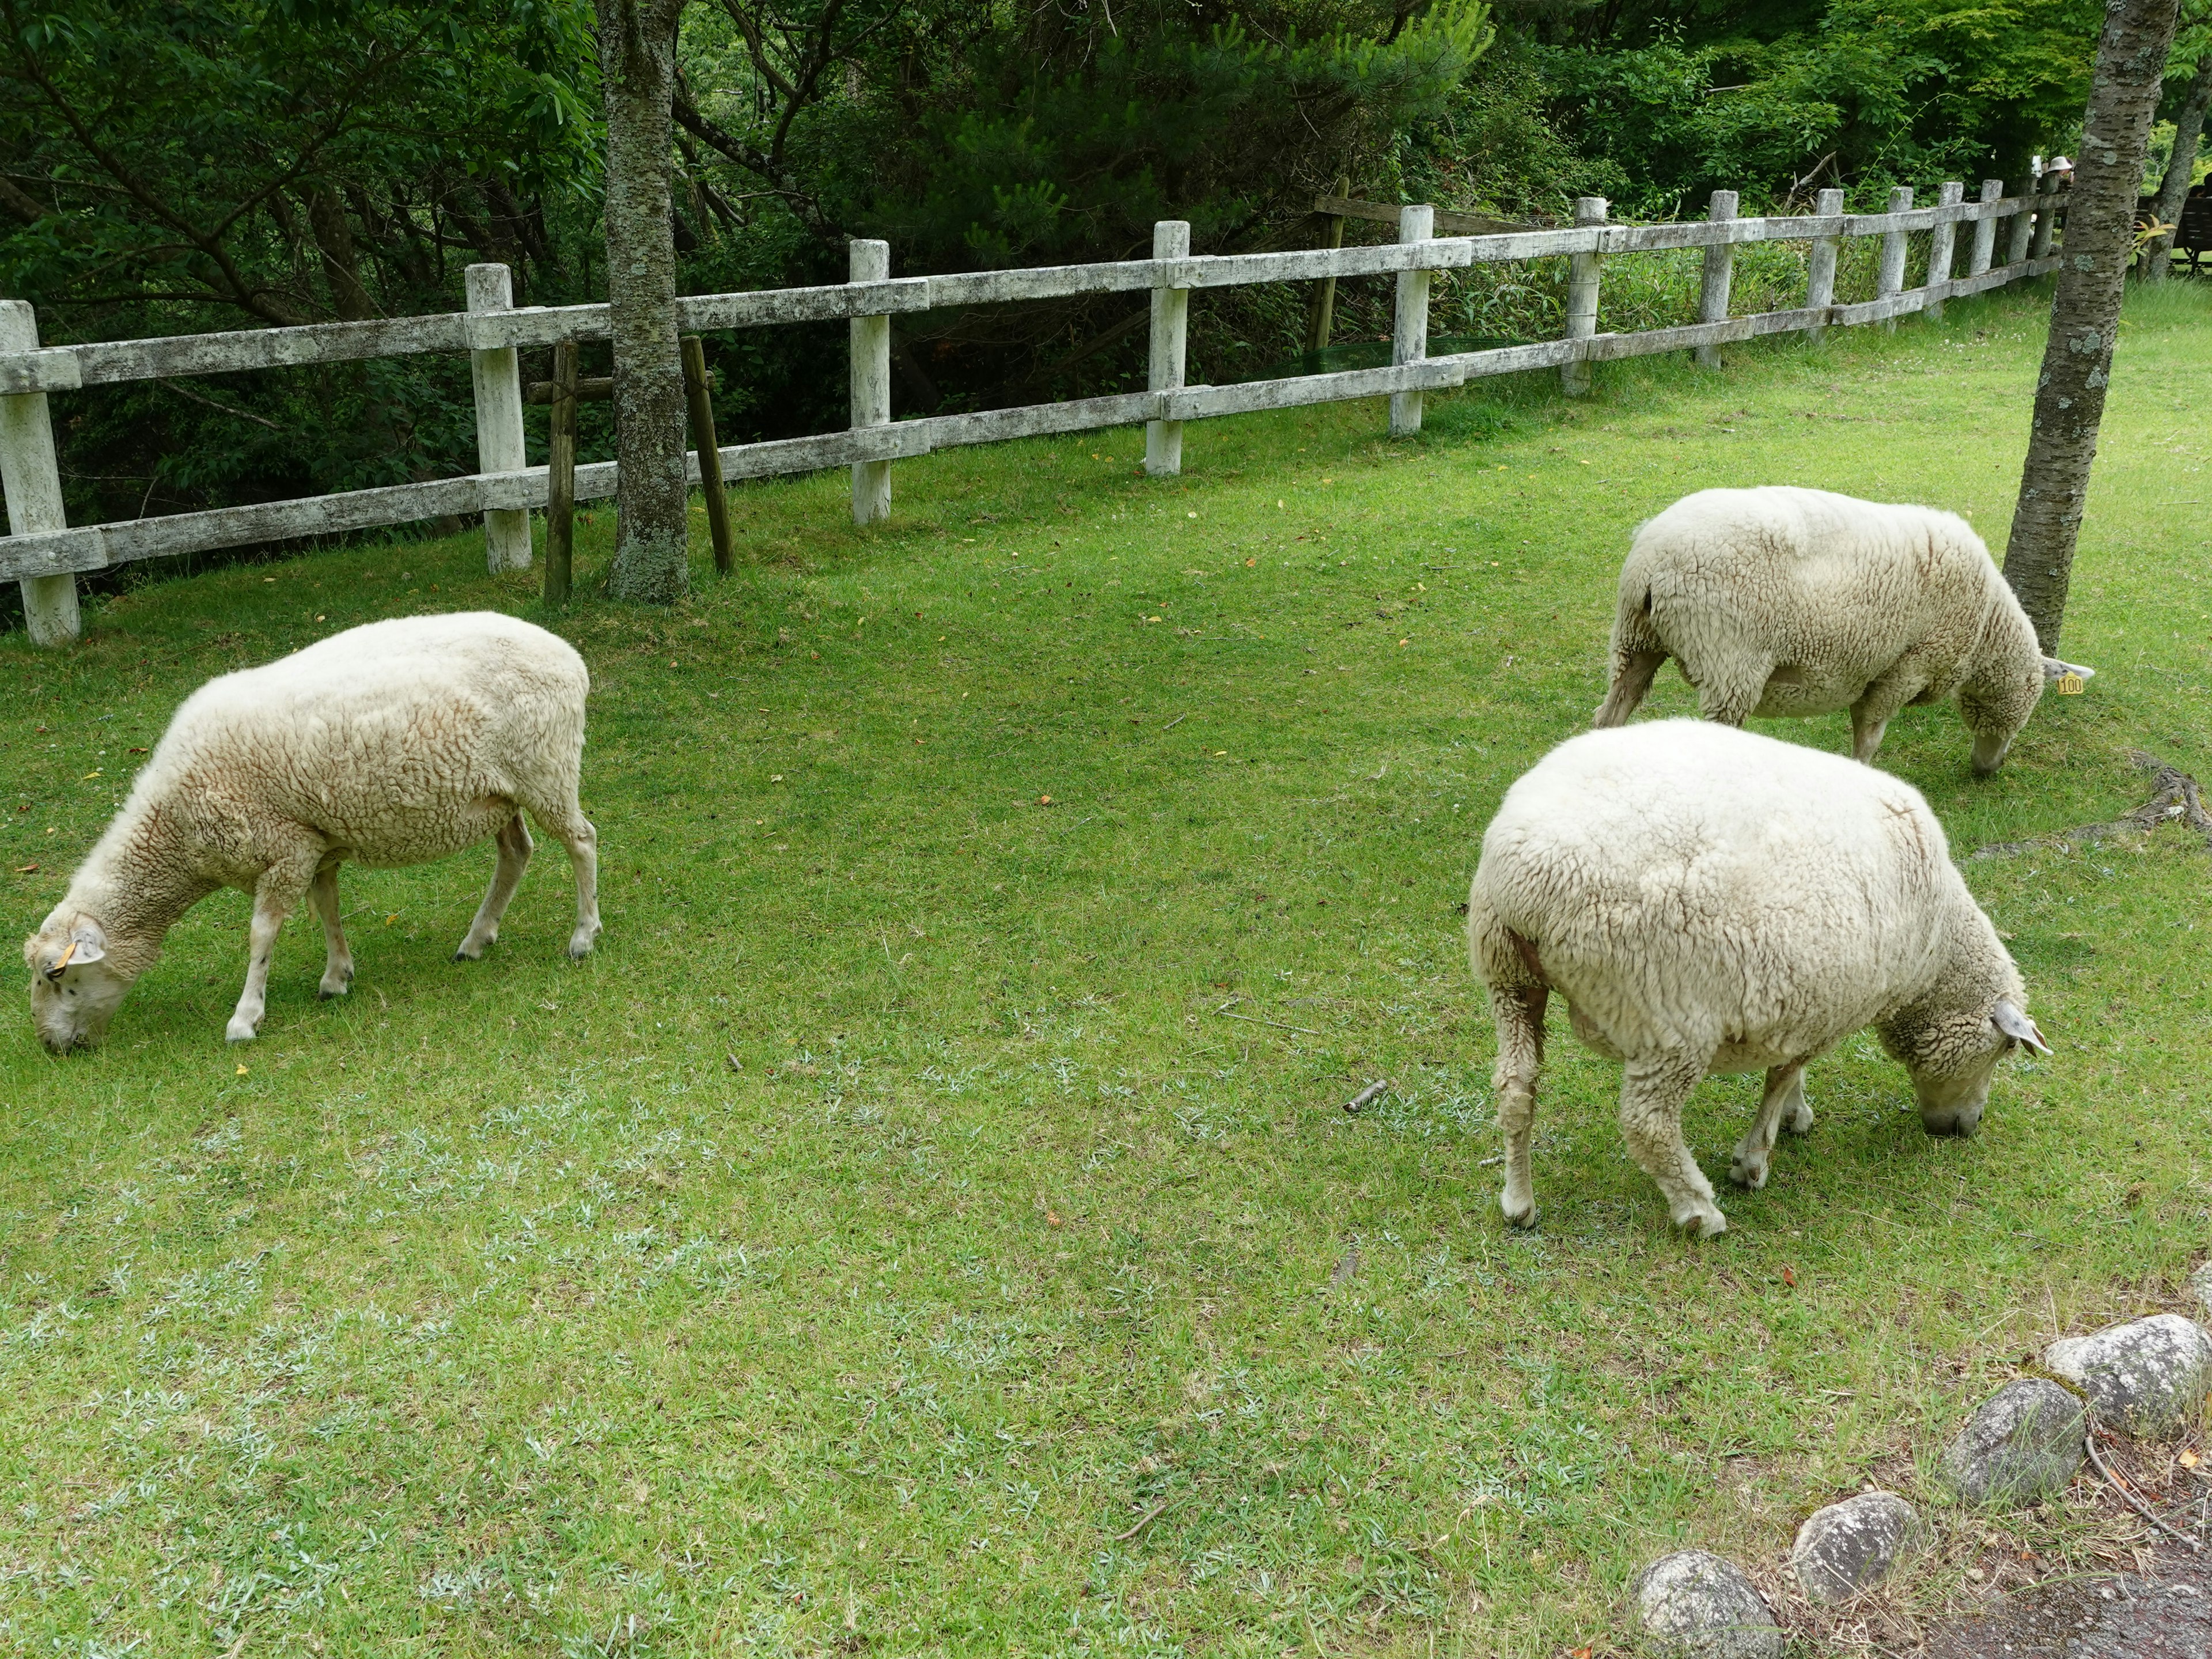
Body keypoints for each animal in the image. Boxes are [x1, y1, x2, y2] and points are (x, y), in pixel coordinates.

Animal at [21, 610, 606, 1052]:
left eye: (56, 976)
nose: (51, 1046)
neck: (176, 828)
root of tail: (569, 656)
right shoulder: (314, 843)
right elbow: (326, 908)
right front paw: (336, 977)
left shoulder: (285, 849)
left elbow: (262, 934)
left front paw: (245, 1018)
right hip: (502, 794)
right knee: (516, 853)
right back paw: (476, 939)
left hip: (546, 769)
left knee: (582, 841)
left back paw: (582, 936)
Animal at [1468, 721, 2052, 1238]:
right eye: (2004, 1051)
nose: (1967, 1128)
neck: (1934, 953)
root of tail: (1525, 875)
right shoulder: (1829, 1010)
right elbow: (1781, 1076)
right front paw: (1753, 1161)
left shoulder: (1808, 998)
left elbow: (1788, 1075)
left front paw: (1797, 1115)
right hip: (1669, 1015)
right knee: (1647, 1123)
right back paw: (1699, 1212)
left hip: (1507, 976)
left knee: (1516, 1088)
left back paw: (1519, 1203)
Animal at [1592, 484, 2088, 778]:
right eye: (2027, 705)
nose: (1989, 769)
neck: (1986, 628)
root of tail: (1652, 561)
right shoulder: (1904, 668)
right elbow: (1870, 738)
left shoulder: (1874, 671)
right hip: (1729, 659)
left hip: (1635, 639)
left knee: (1610, 714)